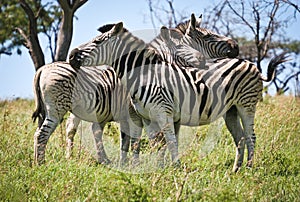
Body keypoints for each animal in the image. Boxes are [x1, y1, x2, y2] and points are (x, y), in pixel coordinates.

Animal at [68, 22, 288, 171]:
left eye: (97, 42)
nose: (71, 55)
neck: (145, 74)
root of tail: (251, 64)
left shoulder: (162, 111)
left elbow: (170, 141)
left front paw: (174, 166)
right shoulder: (146, 116)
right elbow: (155, 143)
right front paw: (157, 168)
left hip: (246, 105)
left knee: (251, 135)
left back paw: (249, 168)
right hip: (231, 111)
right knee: (240, 137)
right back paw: (236, 169)